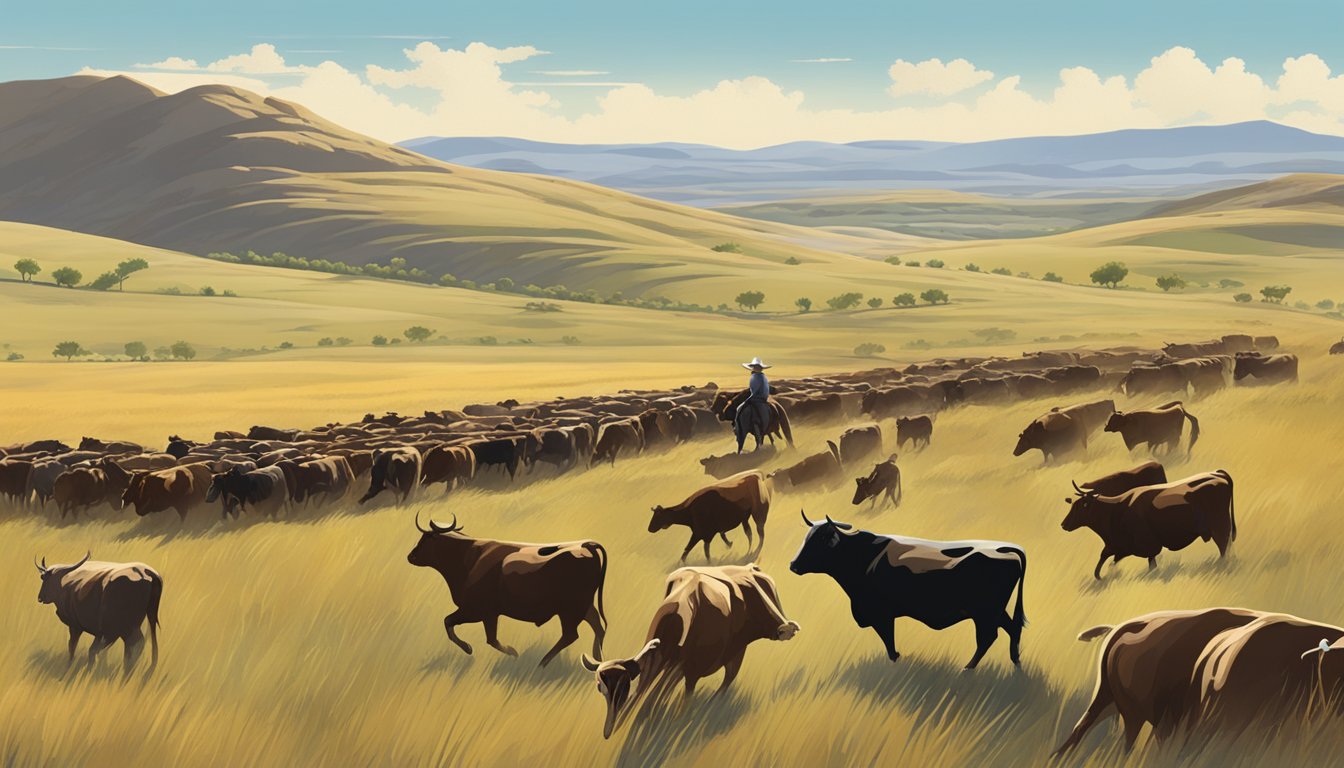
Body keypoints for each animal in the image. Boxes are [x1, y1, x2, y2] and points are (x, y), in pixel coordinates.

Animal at [403, 513, 604, 669]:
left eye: (426, 539)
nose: (410, 556)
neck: (469, 557)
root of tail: (585, 545)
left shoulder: (475, 610)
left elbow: (449, 622)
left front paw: (471, 648)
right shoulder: (489, 614)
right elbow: (489, 638)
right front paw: (511, 652)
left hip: (570, 609)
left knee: (571, 634)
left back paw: (542, 664)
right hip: (584, 606)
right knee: (598, 628)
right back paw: (597, 661)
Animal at [580, 564, 795, 737]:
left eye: (624, 687)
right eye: (601, 688)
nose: (607, 731)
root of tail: (749, 568)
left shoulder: (686, 668)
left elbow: (658, 700)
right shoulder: (663, 667)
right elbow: (644, 698)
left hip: (738, 649)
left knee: (726, 680)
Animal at [784, 513, 1026, 669]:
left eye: (820, 541)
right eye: (807, 538)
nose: (793, 565)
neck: (863, 557)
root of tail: (1002, 547)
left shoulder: (881, 614)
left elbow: (888, 642)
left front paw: (896, 660)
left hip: (984, 612)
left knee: (988, 637)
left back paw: (968, 668)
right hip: (995, 610)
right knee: (1012, 628)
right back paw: (1015, 662)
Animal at [1059, 468, 1236, 583]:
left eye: (1080, 506)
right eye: (1072, 505)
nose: (1063, 524)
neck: (1115, 510)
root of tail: (1217, 474)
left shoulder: (1146, 545)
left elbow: (1149, 564)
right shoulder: (1118, 546)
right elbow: (1106, 560)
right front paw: (1103, 576)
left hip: (1220, 526)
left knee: (1223, 545)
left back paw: (1222, 566)